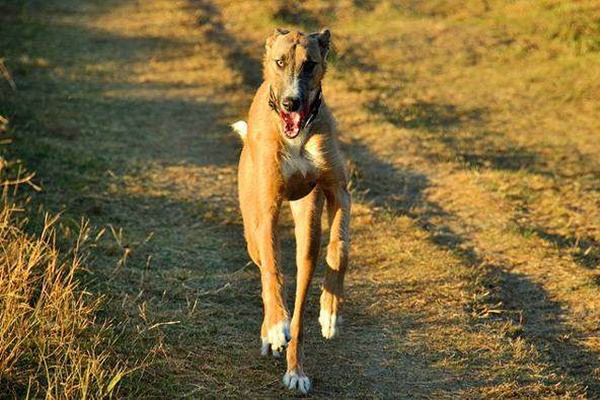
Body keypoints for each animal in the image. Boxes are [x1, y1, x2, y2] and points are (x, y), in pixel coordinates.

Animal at [231, 28, 350, 394]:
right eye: (280, 62)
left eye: (309, 64)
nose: (290, 103)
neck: (296, 136)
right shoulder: (267, 210)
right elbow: (272, 271)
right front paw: (274, 327)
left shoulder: (338, 191)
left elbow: (340, 250)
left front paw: (331, 312)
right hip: (252, 227)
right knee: (264, 268)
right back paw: (272, 329)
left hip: (307, 233)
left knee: (300, 298)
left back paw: (295, 367)